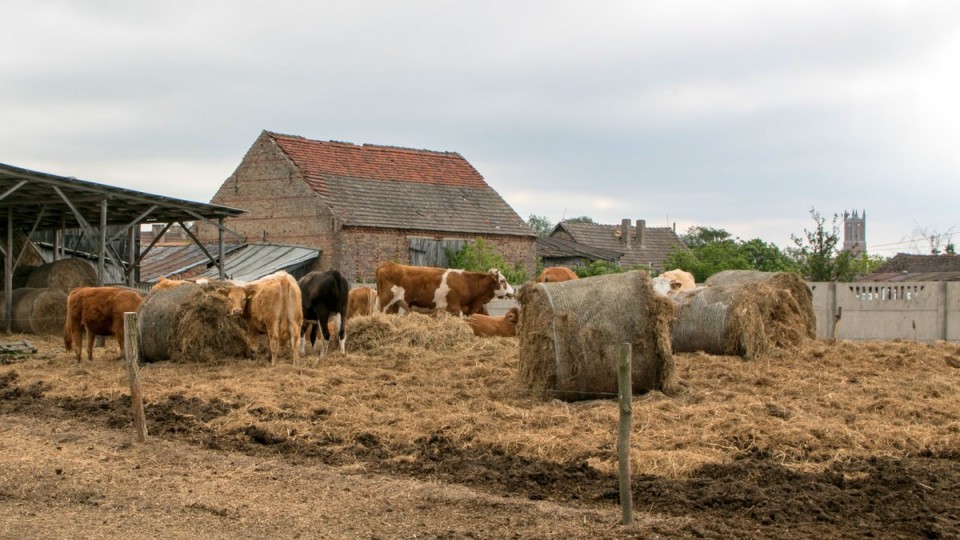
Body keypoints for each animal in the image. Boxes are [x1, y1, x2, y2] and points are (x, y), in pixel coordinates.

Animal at [374, 262, 512, 316]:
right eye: (503, 281)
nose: (513, 291)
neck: (467, 283)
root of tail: (388, 264)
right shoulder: (455, 308)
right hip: (385, 304)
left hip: (394, 305)